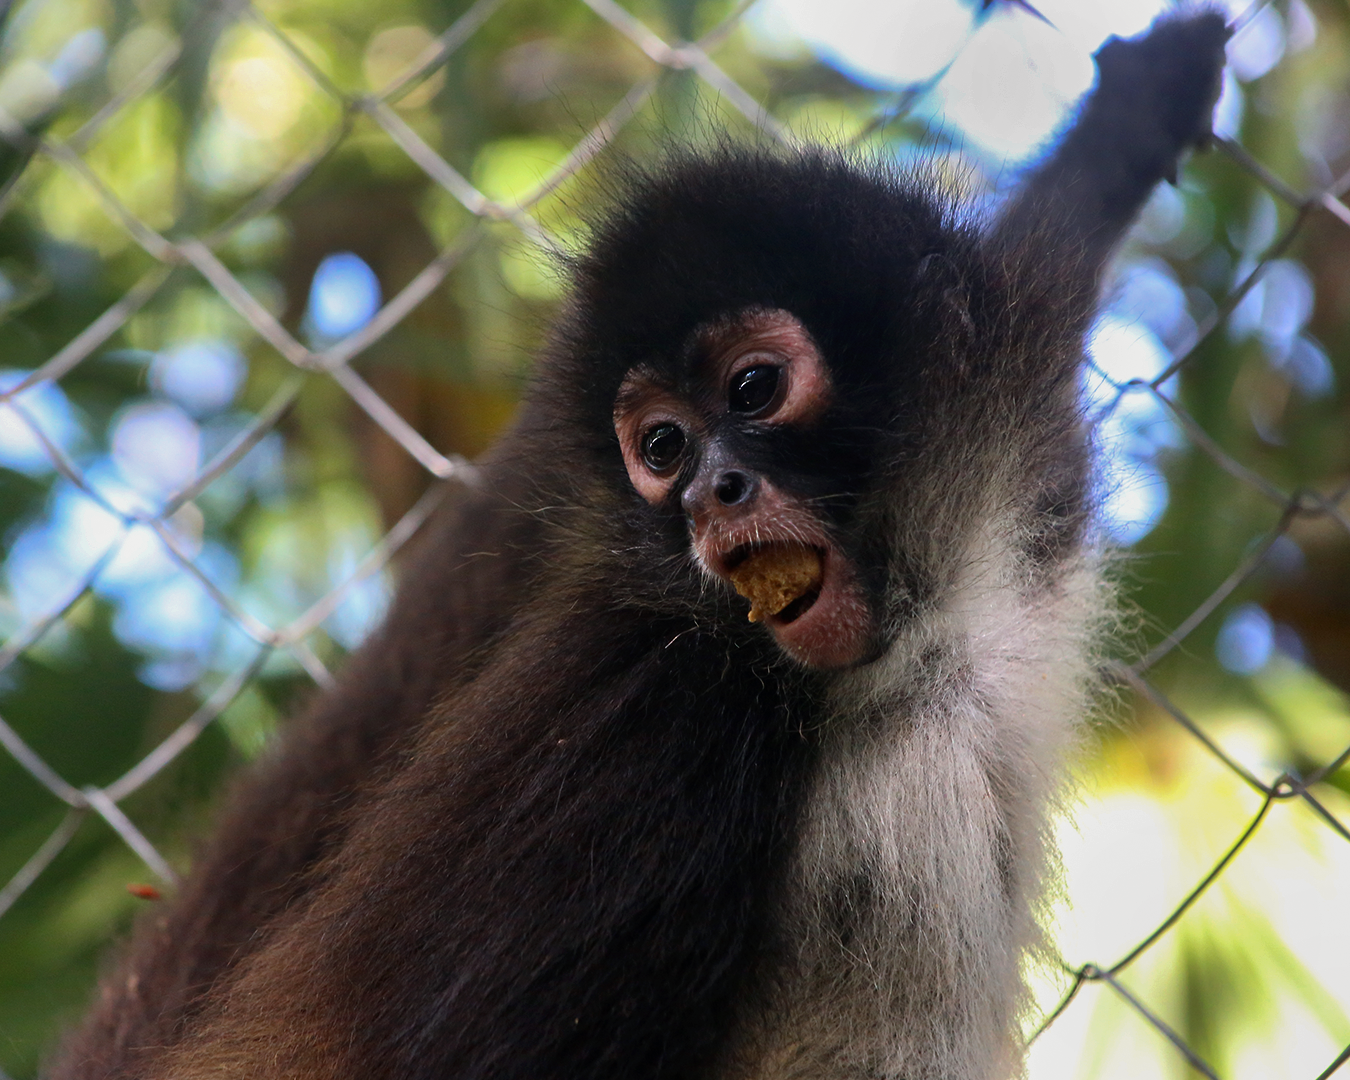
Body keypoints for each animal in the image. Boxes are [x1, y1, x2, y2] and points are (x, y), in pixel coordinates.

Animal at [48, 11, 1229, 1080]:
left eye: (754, 389)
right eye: (661, 447)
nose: (711, 491)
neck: (923, 654)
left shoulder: (1029, 466)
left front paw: (1136, 114)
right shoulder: (665, 700)